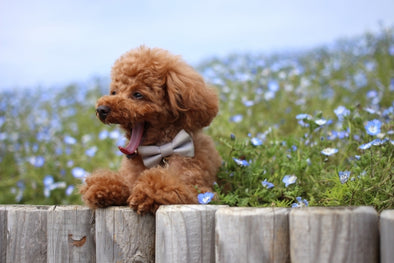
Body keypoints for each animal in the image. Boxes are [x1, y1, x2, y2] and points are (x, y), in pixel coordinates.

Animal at [80, 46, 222, 214]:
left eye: (138, 94)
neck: (160, 152)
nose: (101, 109)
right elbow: (123, 183)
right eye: (114, 92)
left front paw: (145, 193)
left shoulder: (200, 190)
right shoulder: (130, 177)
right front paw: (100, 186)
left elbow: (165, 184)